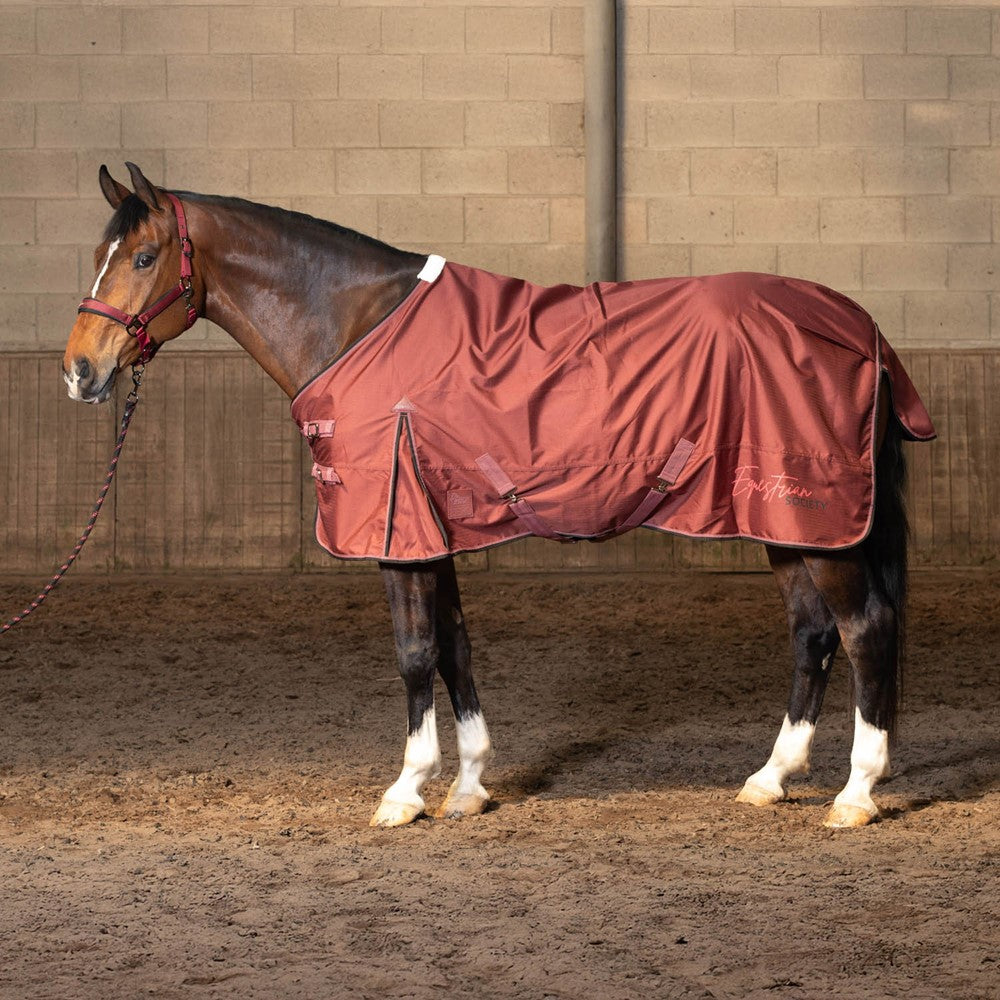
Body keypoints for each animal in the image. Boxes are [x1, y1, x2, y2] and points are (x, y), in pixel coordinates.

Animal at [64, 163, 935, 830]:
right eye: (100, 253)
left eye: (143, 258)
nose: (78, 370)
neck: (354, 323)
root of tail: (859, 326)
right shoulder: (430, 530)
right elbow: (455, 646)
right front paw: (471, 784)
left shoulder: (398, 533)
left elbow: (415, 653)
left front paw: (406, 791)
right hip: (788, 521)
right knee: (812, 635)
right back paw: (770, 779)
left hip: (822, 522)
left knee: (864, 629)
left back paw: (856, 793)